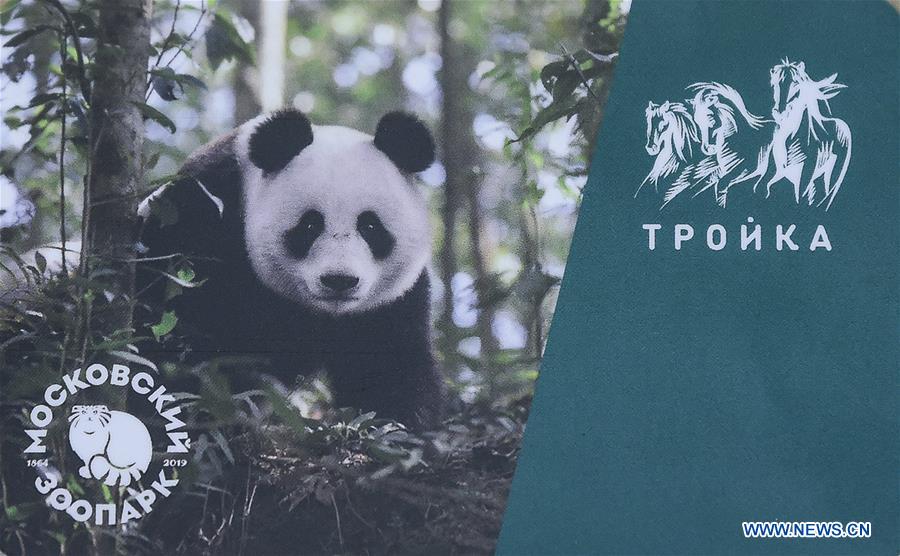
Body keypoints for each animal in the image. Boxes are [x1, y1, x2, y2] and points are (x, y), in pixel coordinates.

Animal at [137, 109, 444, 430]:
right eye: (310, 225)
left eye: (370, 226)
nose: (339, 280)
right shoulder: (206, 214)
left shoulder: (389, 304)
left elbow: (390, 368)